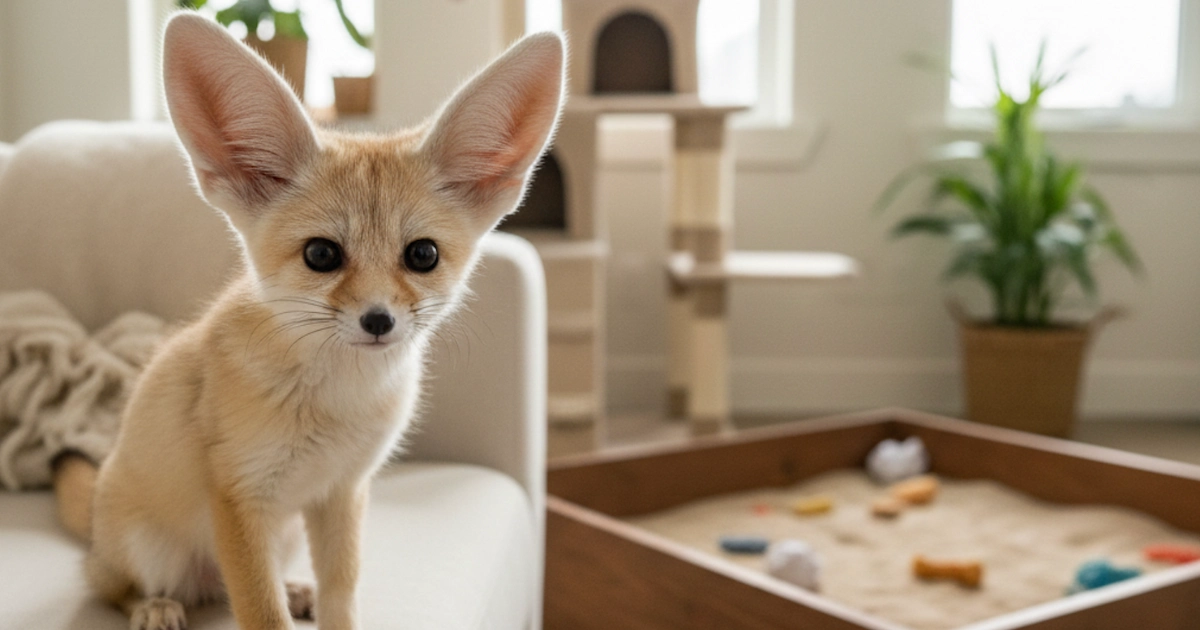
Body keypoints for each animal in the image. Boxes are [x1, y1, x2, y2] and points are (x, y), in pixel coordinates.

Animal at [77, 12, 564, 630]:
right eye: (321, 255)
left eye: (422, 255)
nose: (379, 321)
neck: (336, 407)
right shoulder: (239, 497)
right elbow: (260, 611)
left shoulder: (342, 491)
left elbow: (341, 592)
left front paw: (320, 603)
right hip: (152, 550)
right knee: (112, 586)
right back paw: (154, 605)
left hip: (284, 536)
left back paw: (291, 589)